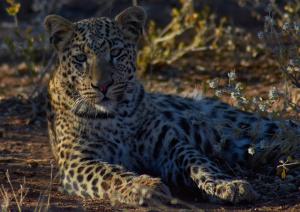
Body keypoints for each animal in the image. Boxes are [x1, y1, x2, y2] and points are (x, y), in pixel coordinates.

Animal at [44, 6, 300, 205]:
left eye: (115, 53)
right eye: (80, 58)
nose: (103, 86)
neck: (117, 115)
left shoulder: (170, 145)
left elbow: (199, 162)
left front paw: (228, 184)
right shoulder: (78, 160)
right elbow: (111, 173)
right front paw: (144, 186)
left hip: (256, 129)